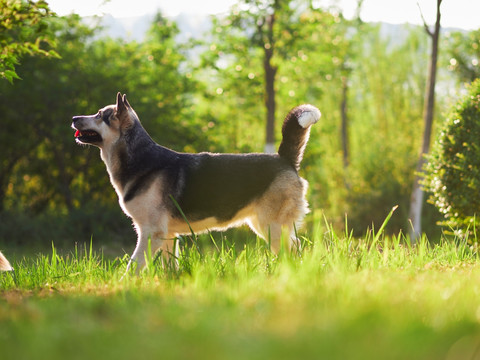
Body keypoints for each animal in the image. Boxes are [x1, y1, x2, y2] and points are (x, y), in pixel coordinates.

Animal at [72, 93, 318, 272]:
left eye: (99, 115)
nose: (73, 118)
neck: (141, 159)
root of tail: (285, 159)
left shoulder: (150, 232)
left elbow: (134, 265)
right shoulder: (168, 235)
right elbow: (170, 266)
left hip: (271, 227)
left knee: (293, 252)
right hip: (263, 225)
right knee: (295, 248)